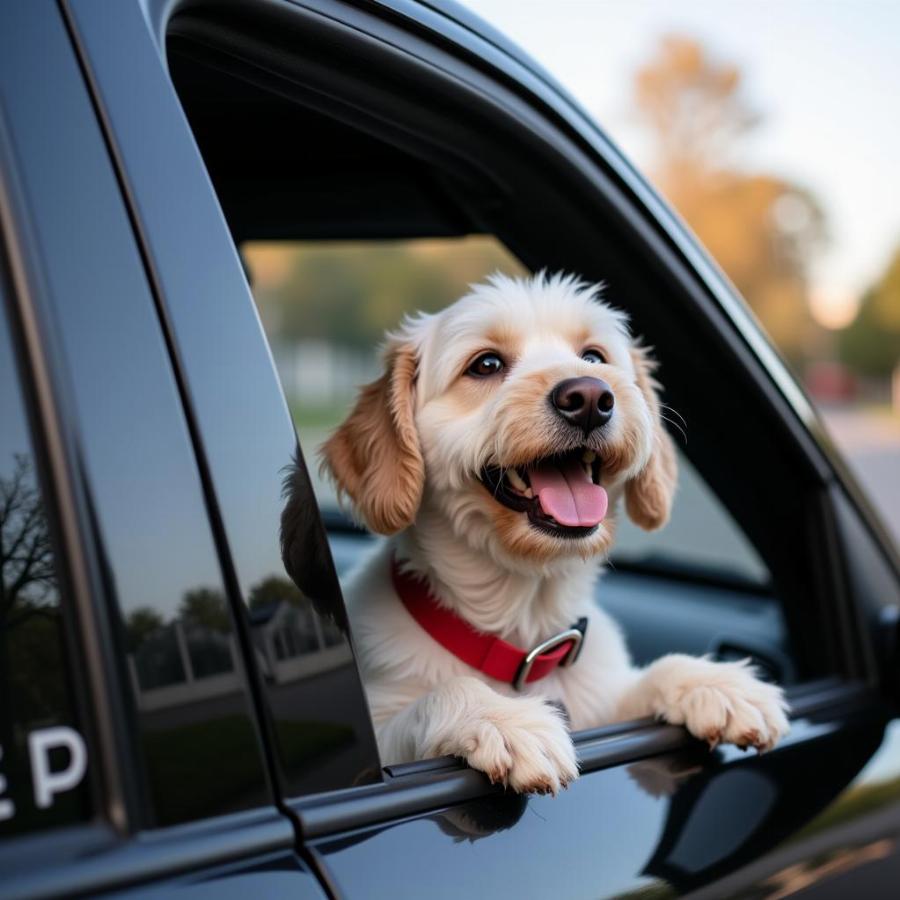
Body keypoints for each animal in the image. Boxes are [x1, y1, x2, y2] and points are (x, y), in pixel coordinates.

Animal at [322, 274, 788, 796]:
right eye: (486, 364)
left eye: (594, 357)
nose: (589, 397)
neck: (523, 631)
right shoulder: (378, 752)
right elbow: (441, 696)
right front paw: (504, 719)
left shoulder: (602, 704)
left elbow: (644, 679)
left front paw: (714, 683)